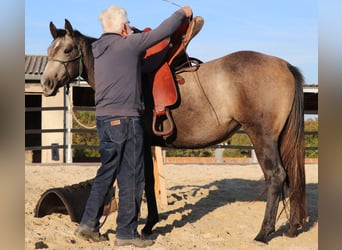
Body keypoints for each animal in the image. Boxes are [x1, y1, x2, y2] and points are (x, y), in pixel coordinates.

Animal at [41, 20, 306, 244]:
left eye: (67, 50)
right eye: (49, 50)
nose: (45, 83)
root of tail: (284, 65)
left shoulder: (140, 143)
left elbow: (144, 183)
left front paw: (145, 226)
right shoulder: (148, 144)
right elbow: (148, 183)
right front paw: (149, 224)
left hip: (262, 138)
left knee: (276, 177)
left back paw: (263, 233)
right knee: (291, 176)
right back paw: (292, 227)